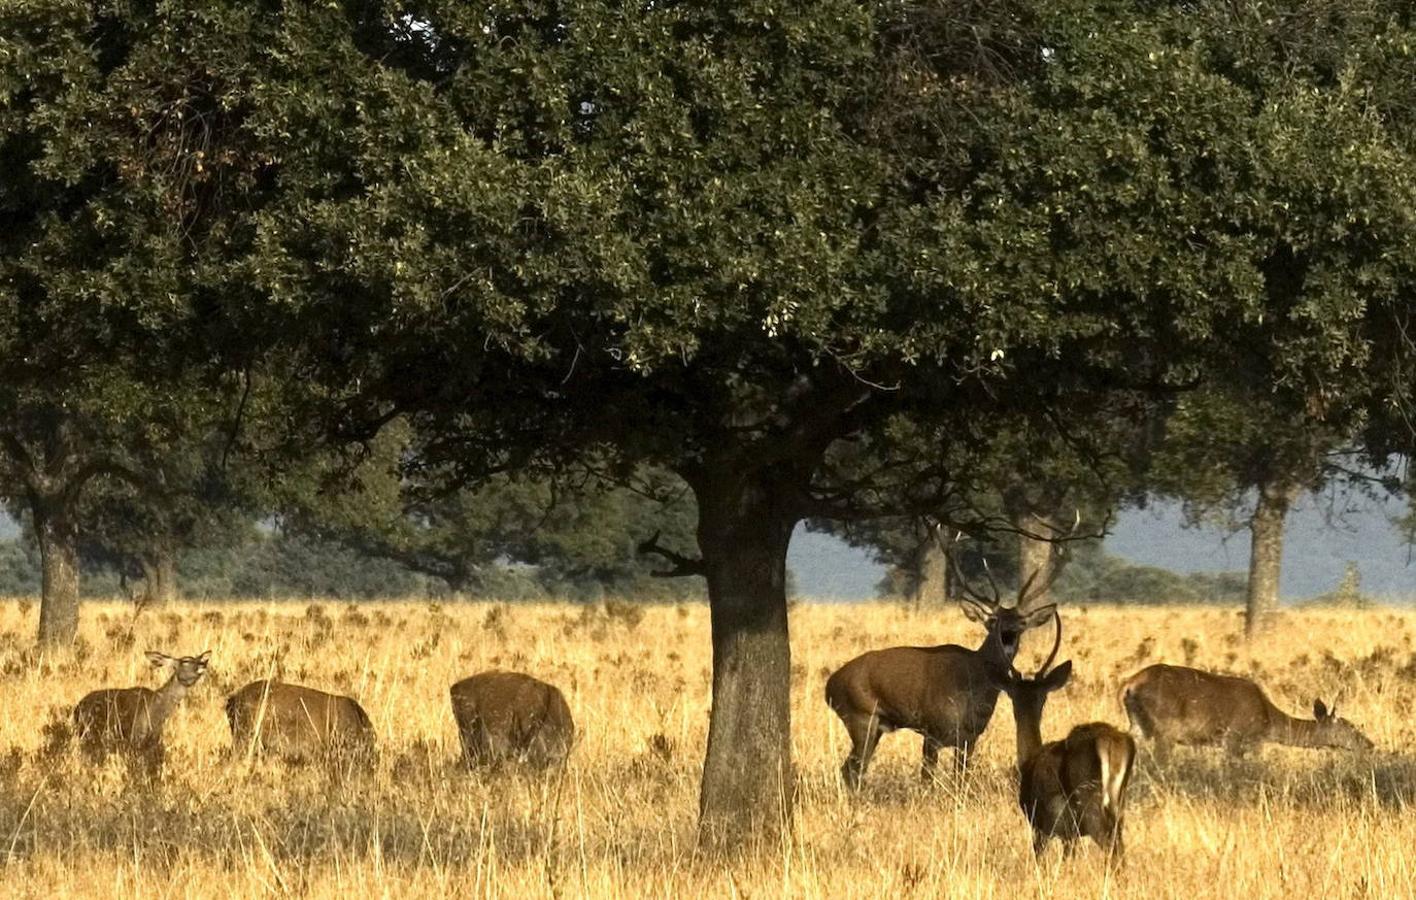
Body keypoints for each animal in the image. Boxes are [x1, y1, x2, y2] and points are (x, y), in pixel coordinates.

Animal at [71, 650, 209, 769]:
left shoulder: (151, 743)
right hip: (90, 735)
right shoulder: (134, 739)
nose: (204, 663)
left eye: (198, 658)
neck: (157, 713)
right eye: (185, 660)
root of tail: (76, 709)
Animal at [826, 560, 1059, 786]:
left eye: (1022, 622)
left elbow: (960, 779)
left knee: (853, 769)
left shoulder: (969, 738)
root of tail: (829, 686)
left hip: (873, 727)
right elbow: (927, 779)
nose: (1008, 632)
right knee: (850, 769)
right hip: (860, 717)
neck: (973, 685)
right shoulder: (932, 731)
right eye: (993, 620)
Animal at [996, 614, 1138, 860]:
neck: (1029, 760)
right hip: (1119, 809)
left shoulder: (1042, 829)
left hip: (1091, 811)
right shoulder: (1070, 836)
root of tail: (1110, 741)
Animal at [1115, 662, 1370, 758]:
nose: (1370, 744)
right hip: (1165, 730)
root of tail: (1128, 686)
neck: (1269, 721)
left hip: (1137, 724)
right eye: (1348, 726)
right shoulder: (1238, 738)